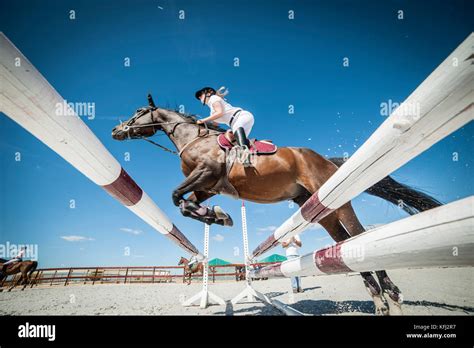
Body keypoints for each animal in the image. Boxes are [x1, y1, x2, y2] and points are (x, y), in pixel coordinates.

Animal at [111, 94, 440, 316]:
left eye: (139, 111)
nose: (117, 130)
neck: (193, 137)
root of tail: (325, 160)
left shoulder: (206, 173)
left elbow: (175, 197)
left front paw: (218, 216)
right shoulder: (206, 187)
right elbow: (184, 204)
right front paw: (217, 216)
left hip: (335, 198)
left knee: (359, 236)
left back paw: (392, 295)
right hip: (317, 209)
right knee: (344, 245)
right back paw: (378, 301)